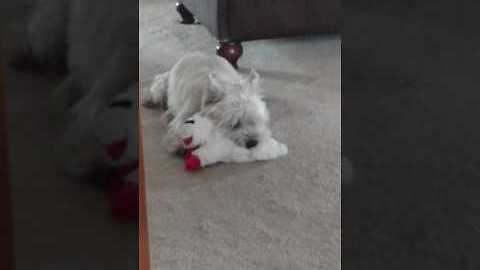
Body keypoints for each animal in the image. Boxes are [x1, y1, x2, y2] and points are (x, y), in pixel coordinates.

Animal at [144, 53, 276, 154]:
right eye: (234, 124)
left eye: (257, 120)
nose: (253, 143)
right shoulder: (185, 114)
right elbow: (178, 128)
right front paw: (177, 144)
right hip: (162, 86)